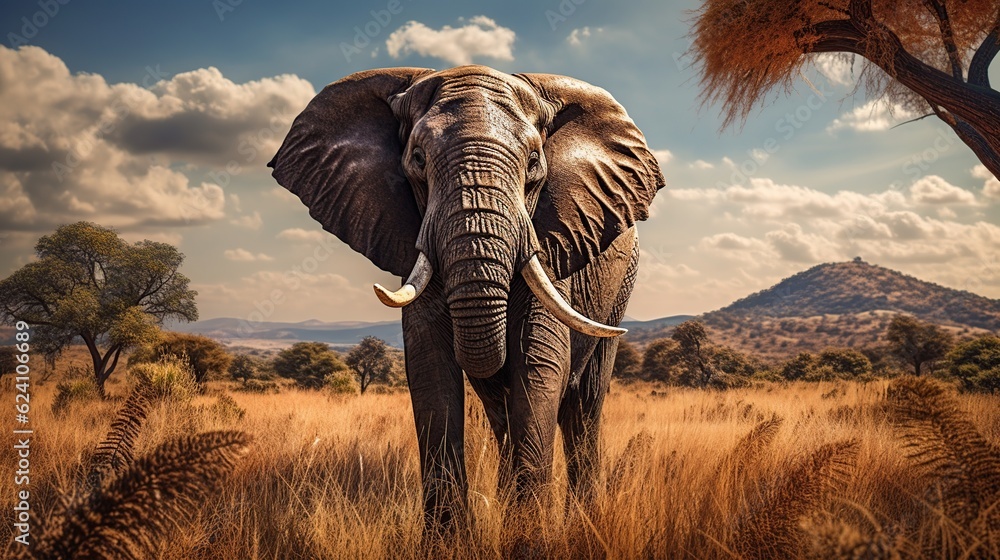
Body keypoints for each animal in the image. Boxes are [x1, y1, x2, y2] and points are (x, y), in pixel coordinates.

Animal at [268, 65, 664, 533]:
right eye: (418, 159)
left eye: (534, 163)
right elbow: (430, 367)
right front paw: (451, 540)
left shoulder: (556, 241)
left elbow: (537, 363)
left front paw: (529, 538)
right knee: (503, 411)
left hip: (620, 286)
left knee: (583, 404)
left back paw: (585, 522)